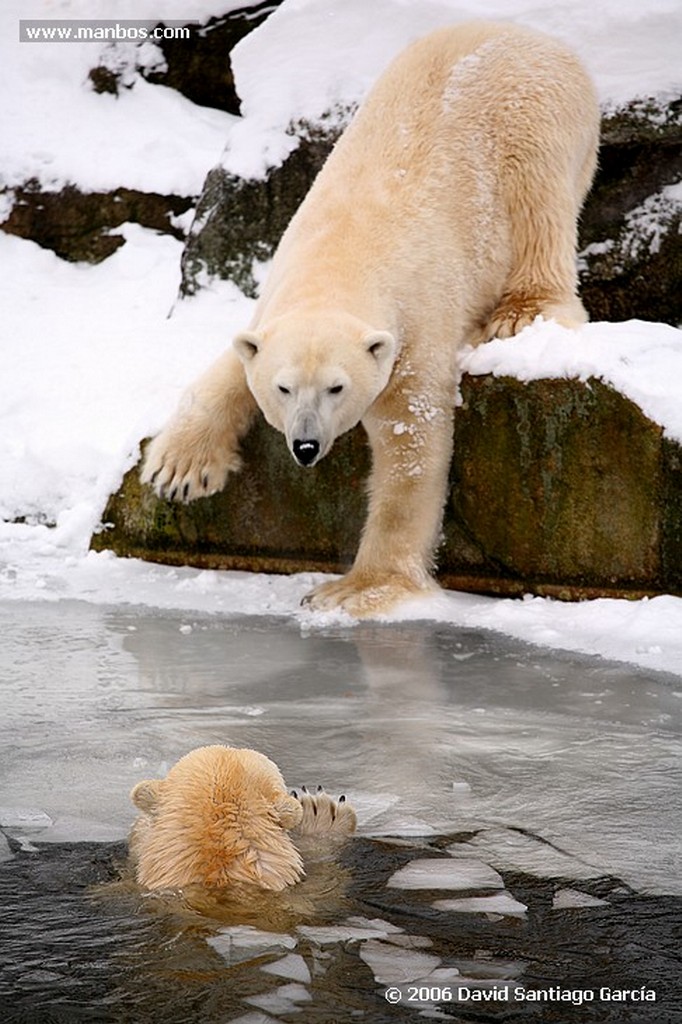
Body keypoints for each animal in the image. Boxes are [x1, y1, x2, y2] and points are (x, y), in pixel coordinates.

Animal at [142, 22, 593, 614]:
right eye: (284, 388)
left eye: (337, 387)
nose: (305, 446)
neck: (341, 254)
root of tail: (531, 35)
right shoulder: (276, 299)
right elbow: (232, 365)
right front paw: (178, 471)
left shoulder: (416, 324)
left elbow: (412, 444)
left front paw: (354, 590)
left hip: (535, 121)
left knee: (540, 212)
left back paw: (517, 316)